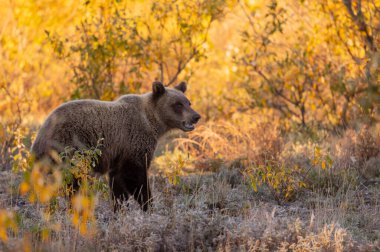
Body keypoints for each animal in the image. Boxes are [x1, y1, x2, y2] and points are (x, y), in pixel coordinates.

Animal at [31, 81, 202, 211]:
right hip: (70, 148)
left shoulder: (118, 154)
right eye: (178, 104)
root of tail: (41, 133)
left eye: (188, 102)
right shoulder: (134, 142)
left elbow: (118, 185)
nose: (196, 116)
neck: (152, 123)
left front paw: (120, 209)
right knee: (74, 183)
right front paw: (148, 205)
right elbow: (135, 177)